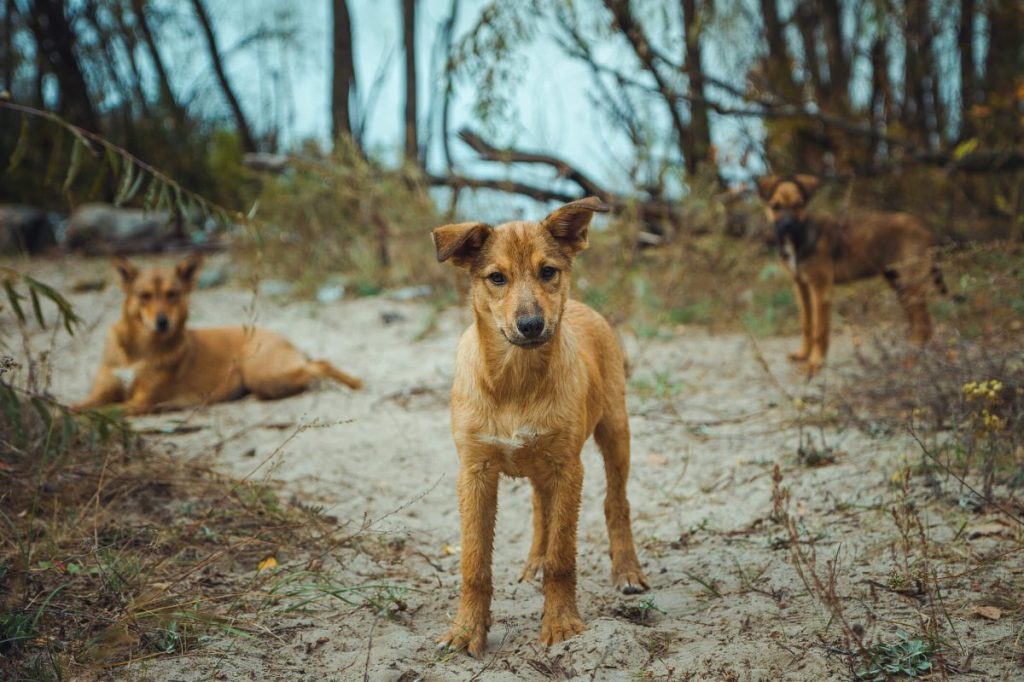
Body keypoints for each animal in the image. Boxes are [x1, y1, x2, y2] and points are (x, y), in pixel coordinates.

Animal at [73, 254, 360, 413]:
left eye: (172, 294)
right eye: (144, 296)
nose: (162, 322)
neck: (139, 350)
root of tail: (285, 339)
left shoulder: (139, 402)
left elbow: (99, 413)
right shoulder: (100, 394)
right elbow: (76, 408)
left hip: (261, 372)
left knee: (318, 366)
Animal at [432, 196, 647, 655]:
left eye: (548, 271)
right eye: (497, 278)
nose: (531, 325)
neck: (516, 380)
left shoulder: (568, 467)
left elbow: (564, 557)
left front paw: (561, 622)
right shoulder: (474, 472)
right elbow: (475, 562)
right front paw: (466, 630)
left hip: (615, 430)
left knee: (616, 503)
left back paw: (626, 570)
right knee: (539, 507)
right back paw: (534, 560)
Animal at [753, 173, 942, 374]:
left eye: (799, 205)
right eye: (775, 206)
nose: (787, 226)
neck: (799, 238)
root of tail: (926, 227)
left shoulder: (820, 288)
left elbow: (819, 328)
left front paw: (815, 363)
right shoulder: (800, 285)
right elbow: (806, 324)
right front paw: (803, 354)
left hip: (911, 282)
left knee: (924, 325)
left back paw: (911, 359)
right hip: (898, 282)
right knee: (918, 322)